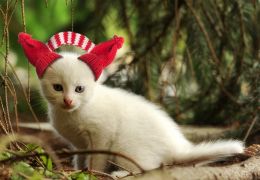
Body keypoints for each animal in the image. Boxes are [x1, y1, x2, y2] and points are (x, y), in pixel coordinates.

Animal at [40, 51, 244, 176]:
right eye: (58, 88)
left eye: (79, 89)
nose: (68, 100)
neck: (73, 113)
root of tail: (176, 147)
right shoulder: (79, 143)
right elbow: (81, 155)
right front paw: (78, 169)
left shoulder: (102, 134)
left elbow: (97, 158)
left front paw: (93, 172)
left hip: (125, 146)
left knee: (148, 168)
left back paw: (120, 174)